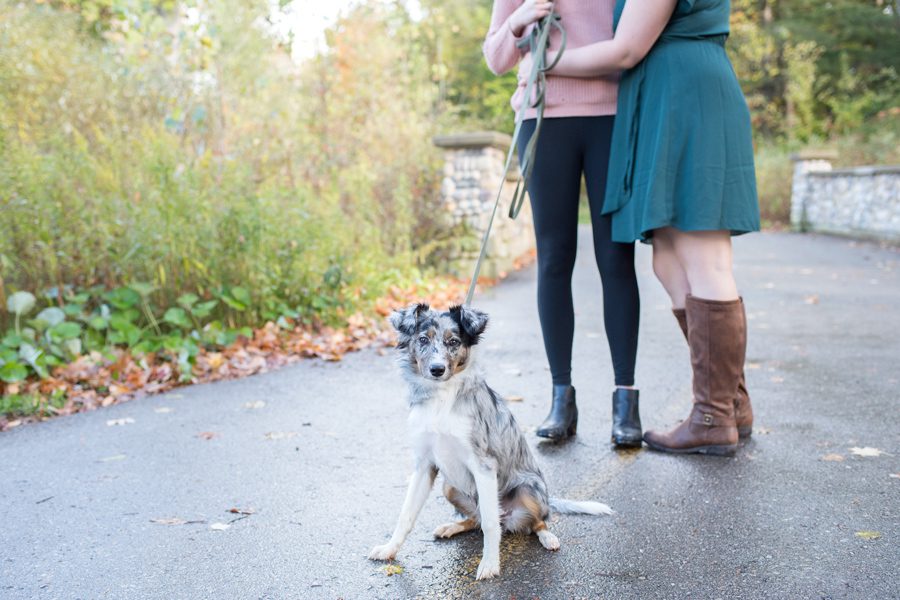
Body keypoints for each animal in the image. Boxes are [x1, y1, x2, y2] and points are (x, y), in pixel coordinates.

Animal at [366, 304, 612, 580]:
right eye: (422, 340)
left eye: (453, 341)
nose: (437, 369)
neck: (441, 400)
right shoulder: (424, 465)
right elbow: (406, 515)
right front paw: (389, 549)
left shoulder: (483, 465)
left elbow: (491, 524)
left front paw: (490, 564)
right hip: (449, 486)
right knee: (476, 519)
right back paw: (452, 526)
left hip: (529, 489)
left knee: (533, 522)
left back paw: (548, 537)